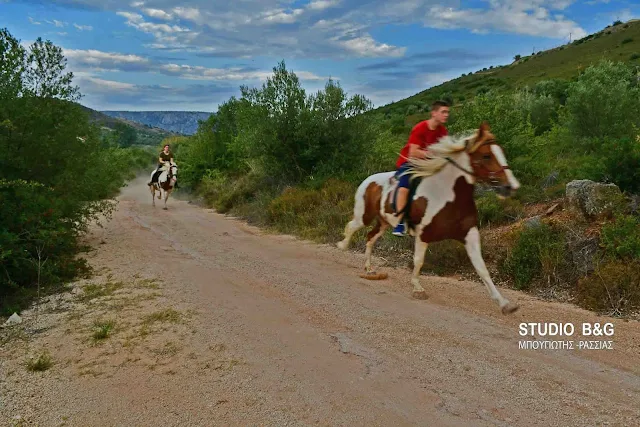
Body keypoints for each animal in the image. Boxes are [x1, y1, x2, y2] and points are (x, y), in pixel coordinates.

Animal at [338, 122, 524, 316]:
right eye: (486, 155)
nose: (511, 186)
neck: (449, 195)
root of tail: (368, 179)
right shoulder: (423, 234)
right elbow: (418, 261)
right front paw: (417, 288)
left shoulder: (470, 234)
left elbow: (482, 268)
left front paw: (504, 303)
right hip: (364, 216)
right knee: (351, 227)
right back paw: (342, 246)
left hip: (383, 222)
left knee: (370, 238)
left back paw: (368, 268)